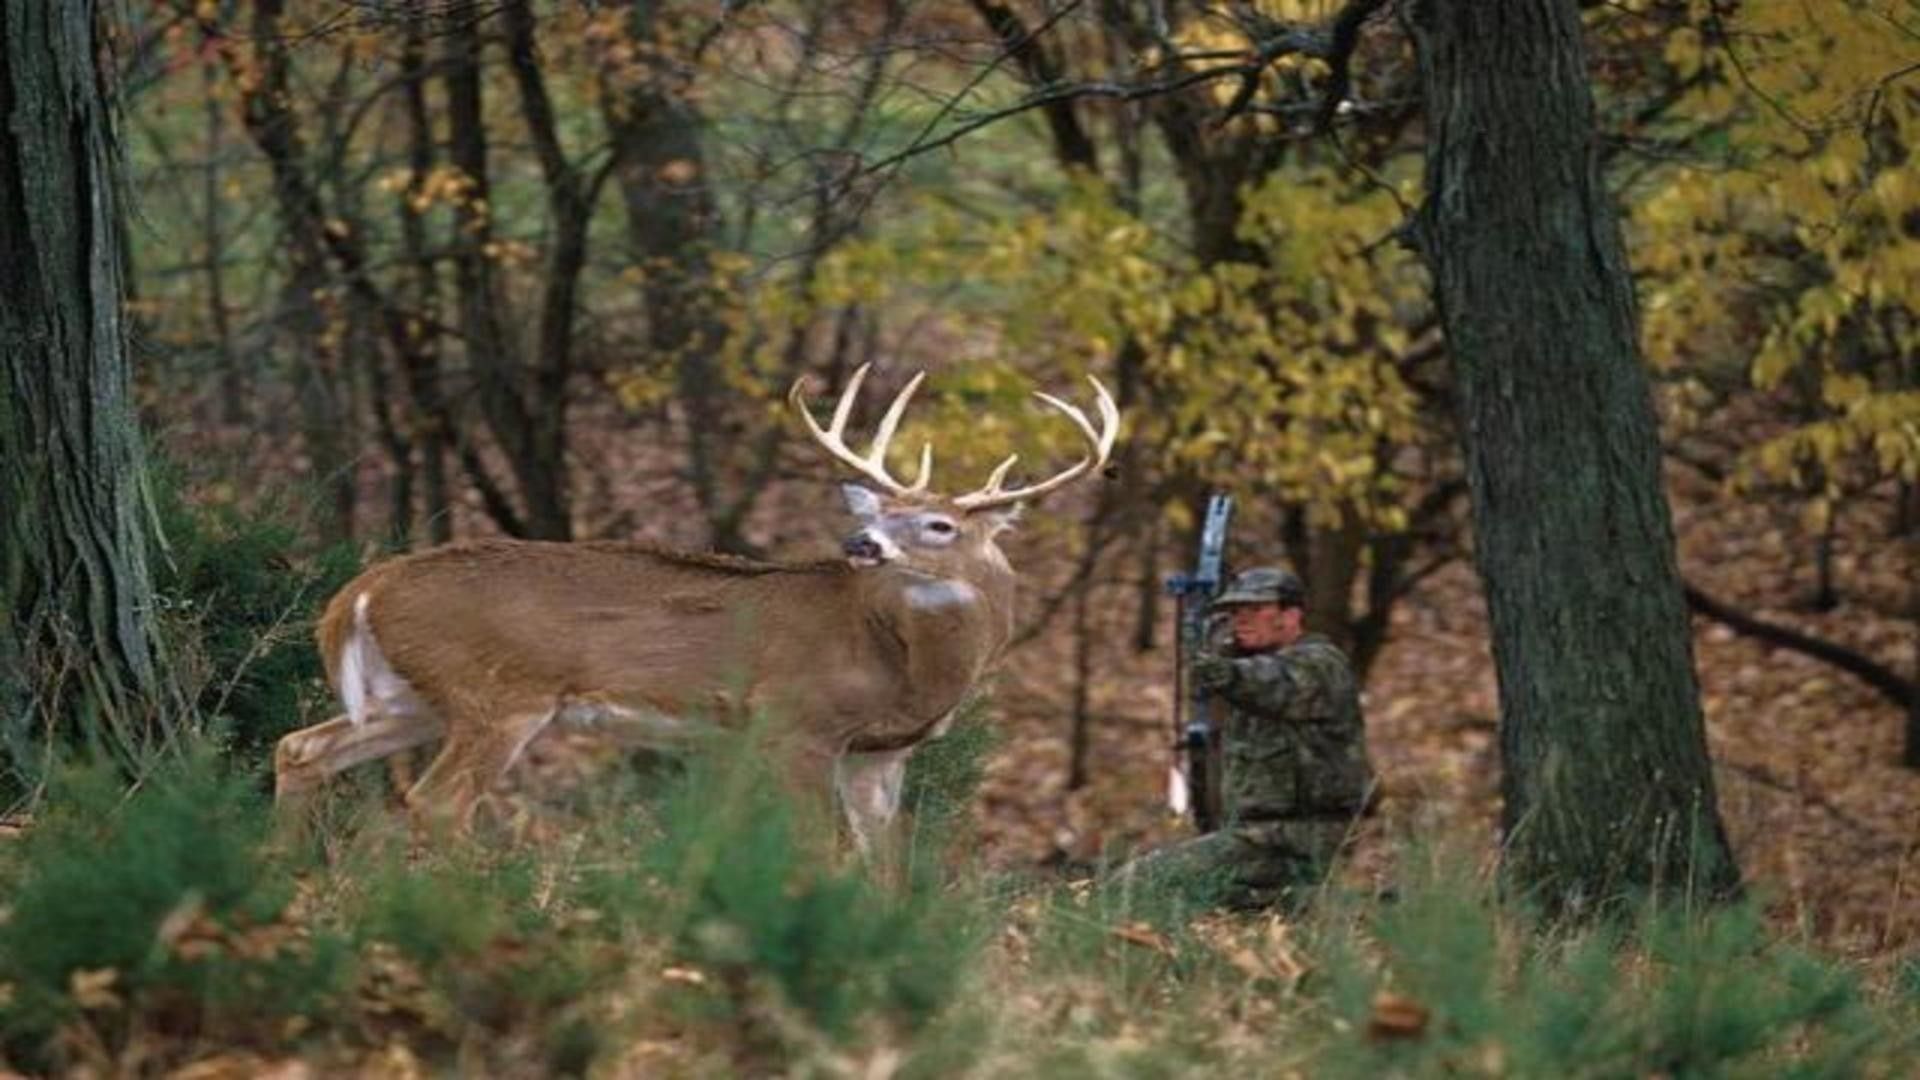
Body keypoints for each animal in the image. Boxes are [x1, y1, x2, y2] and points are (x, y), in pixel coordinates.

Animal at [272, 364, 1119, 854]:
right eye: (885, 510)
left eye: (939, 524)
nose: (861, 541)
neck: (903, 662)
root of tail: (359, 591)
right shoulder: (794, 724)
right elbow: (820, 853)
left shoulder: (880, 755)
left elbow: (885, 865)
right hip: (498, 695)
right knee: (439, 804)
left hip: (416, 697)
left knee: (300, 748)